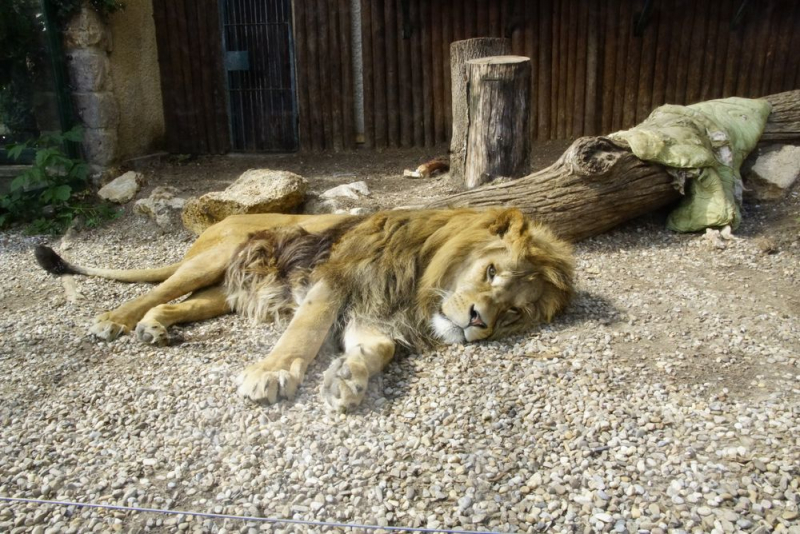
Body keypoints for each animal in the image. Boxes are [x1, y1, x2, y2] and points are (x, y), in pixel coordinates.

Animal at [34, 209, 572, 410]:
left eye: (514, 313)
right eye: (491, 272)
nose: (480, 321)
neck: (419, 286)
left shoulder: (372, 312)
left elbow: (377, 349)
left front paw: (349, 378)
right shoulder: (335, 279)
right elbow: (305, 332)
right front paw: (270, 374)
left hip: (227, 291)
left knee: (177, 305)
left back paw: (155, 330)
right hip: (210, 261)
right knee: (156, 291)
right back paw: (115, 320)